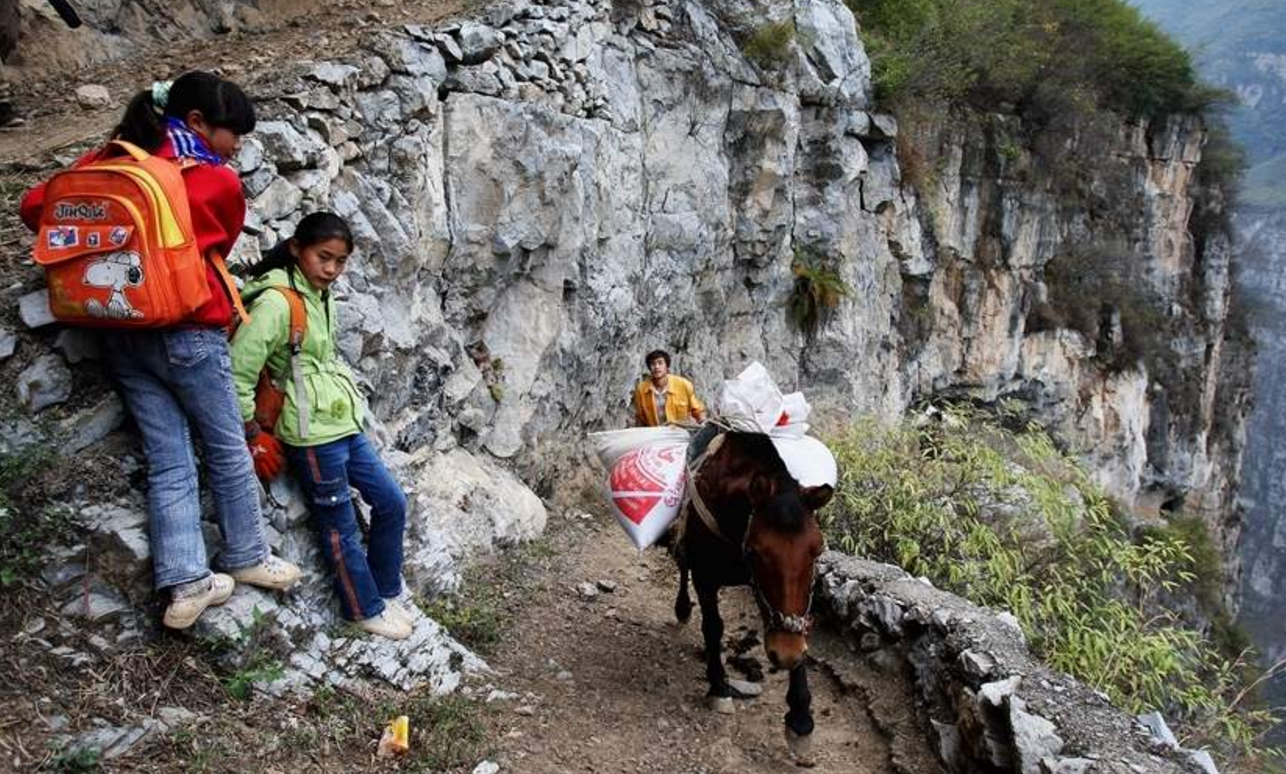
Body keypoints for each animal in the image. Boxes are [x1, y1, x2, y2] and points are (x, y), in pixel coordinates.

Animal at [673, 426, 833, 761]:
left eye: (817, 551)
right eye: (755, 552)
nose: (785, 653)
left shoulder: (767, 595)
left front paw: (800, 718)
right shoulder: (705, 577)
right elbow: (713, 626)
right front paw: (718, 686)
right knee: (681, 565)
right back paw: (682, 609)